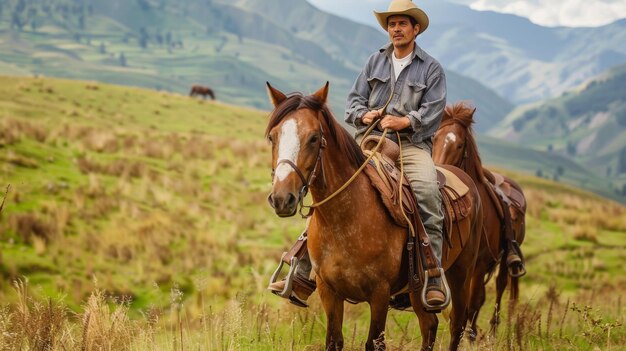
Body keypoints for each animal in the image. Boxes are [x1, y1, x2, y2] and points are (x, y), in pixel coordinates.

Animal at [264, 83, 482, 351]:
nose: (282, 198)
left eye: (314, 138)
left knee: (456, 326)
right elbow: (333, 340)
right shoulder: (329, 291)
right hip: (416, 290)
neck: (344, 220)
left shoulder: (379, 294)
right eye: (273, 137)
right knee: (430, 326)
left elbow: (374, 343)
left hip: (461, 274)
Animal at [432, 103, 524, 342]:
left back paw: (492, 330)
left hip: (503, 260)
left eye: (460, 144)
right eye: (434, 138)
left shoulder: (479, 264)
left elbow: (472, 303)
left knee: (500, 288)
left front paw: (469, 335)